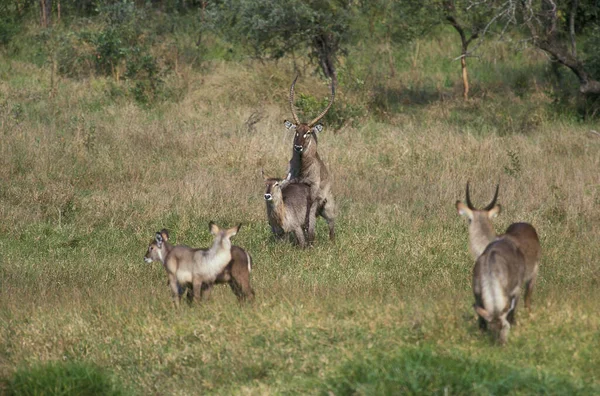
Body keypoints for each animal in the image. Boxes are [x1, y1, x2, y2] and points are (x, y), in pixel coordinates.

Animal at [284, 74, 336, 241]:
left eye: (308, 132)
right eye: (297, 131)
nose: (298, 147)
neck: (302, 166)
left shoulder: (312, 190)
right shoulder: (290, 181)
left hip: (328, 208)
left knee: (331, 226)